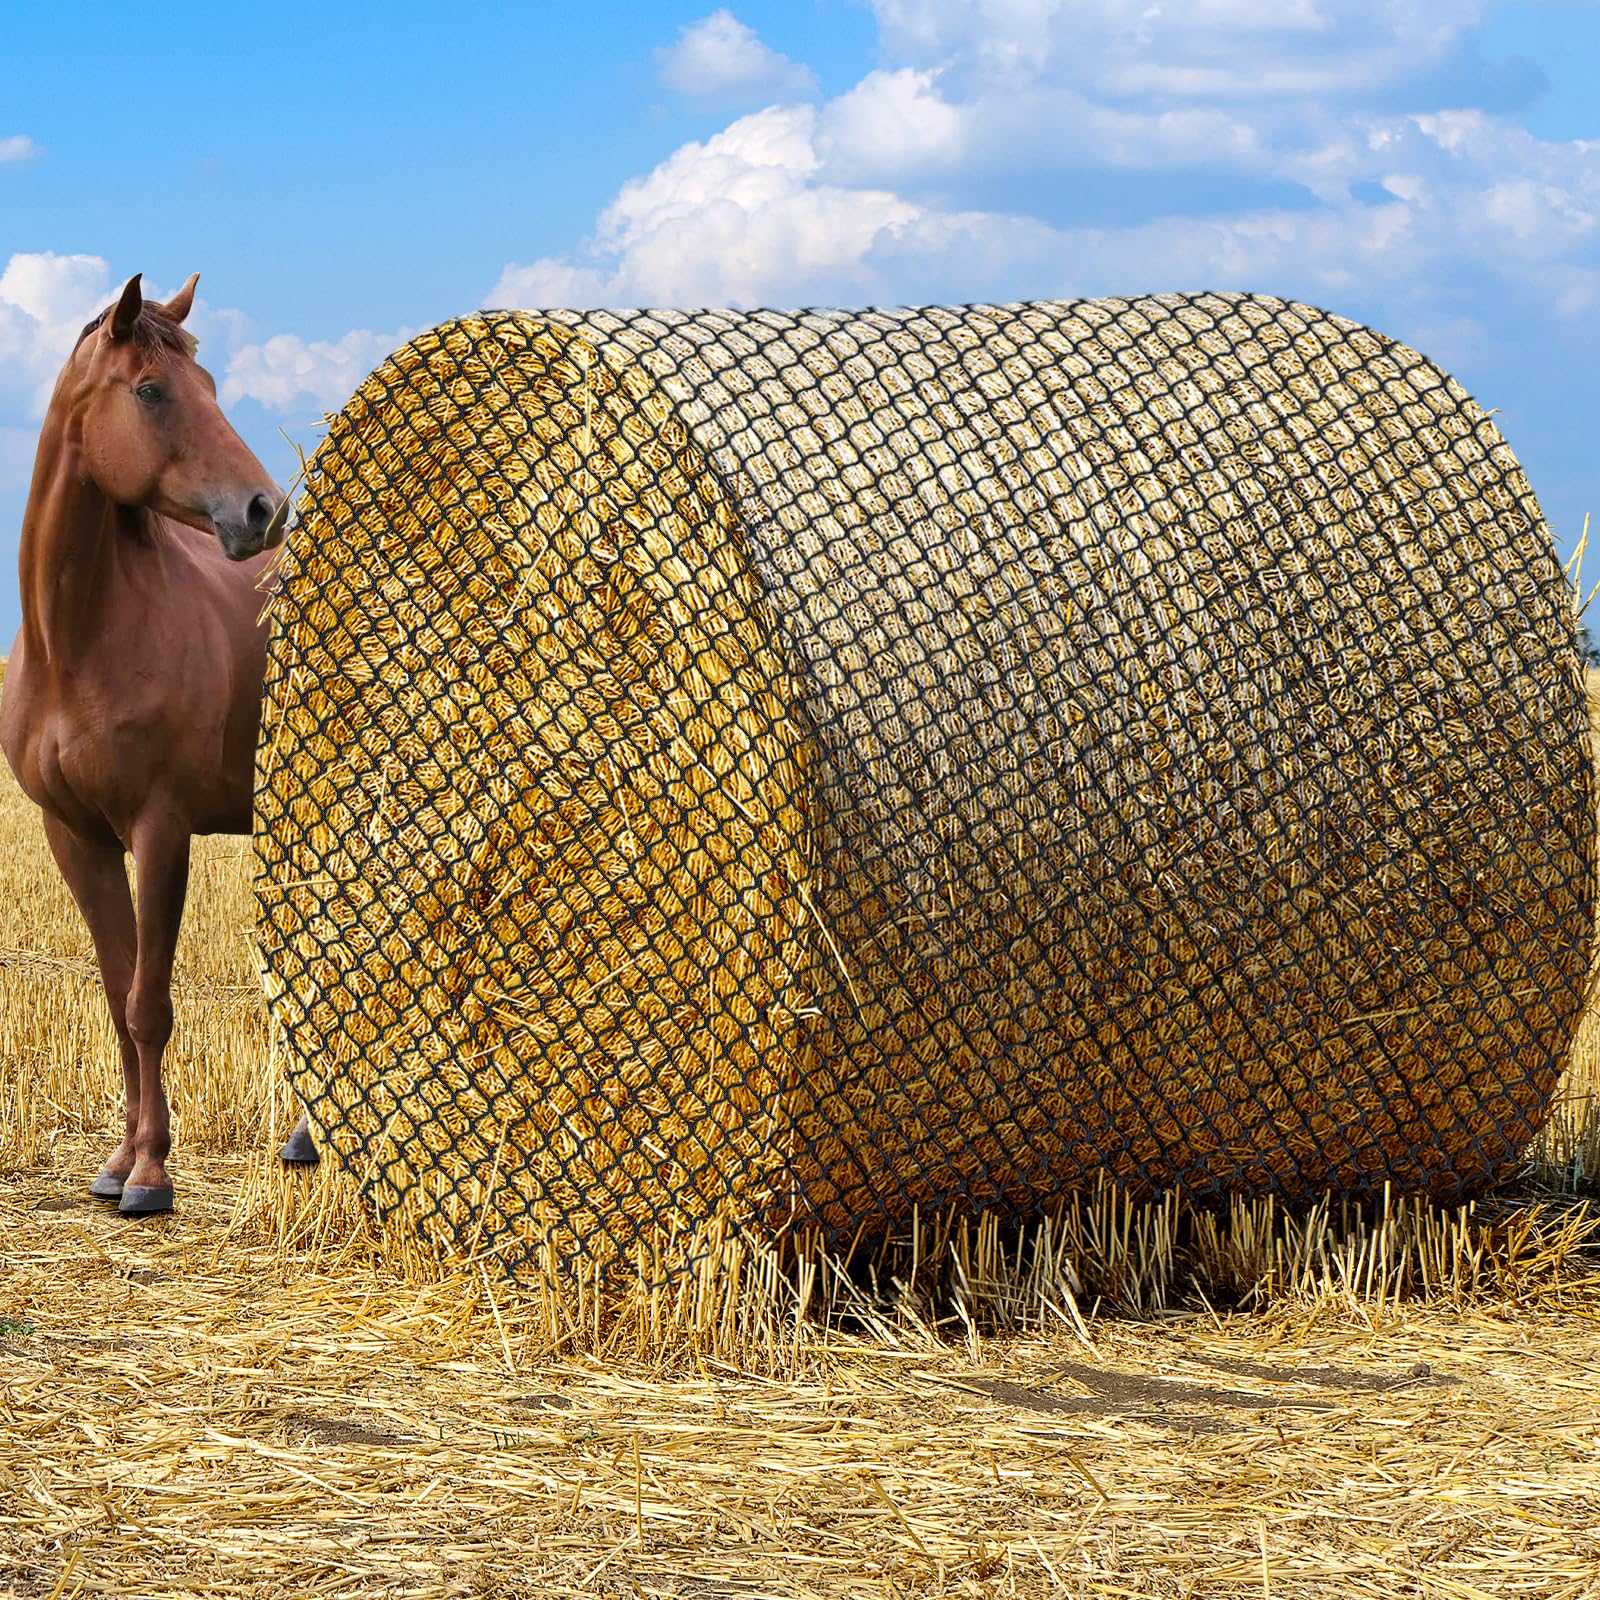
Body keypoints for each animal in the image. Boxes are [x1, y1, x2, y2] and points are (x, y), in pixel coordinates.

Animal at [1, 271, 318, 1216]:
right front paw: (117, 1162)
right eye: (150, 391)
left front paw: (150, 1175)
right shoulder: (75, 836)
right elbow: (116, 994)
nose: (263, 510)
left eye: (209, 386)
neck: (78, 640)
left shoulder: (160, 829)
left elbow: (150, 1002)